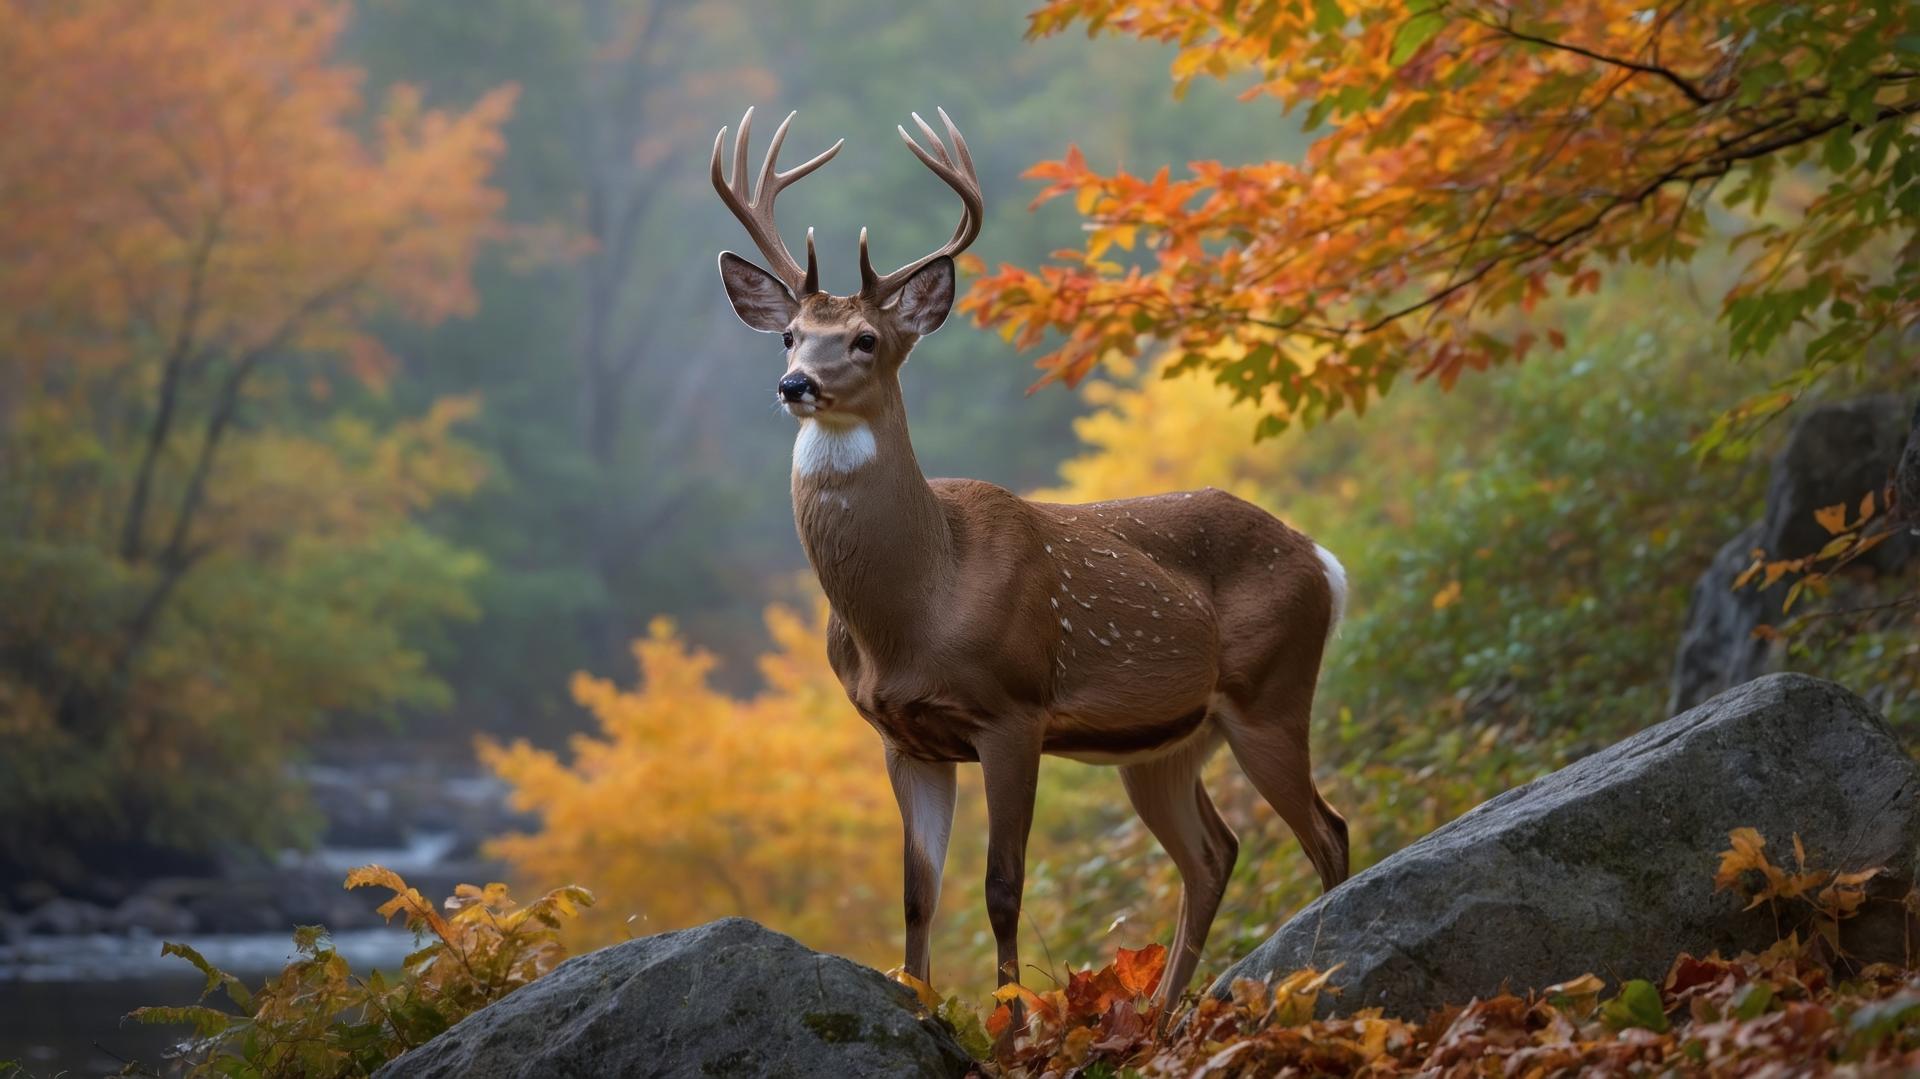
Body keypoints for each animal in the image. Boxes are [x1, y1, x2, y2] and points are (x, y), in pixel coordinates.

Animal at [710, 106, 1351, 1016]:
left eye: (866, 338)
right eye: (792, 335)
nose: (795, 383)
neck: (915, 609)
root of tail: (1322, 558)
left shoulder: (1014, 709)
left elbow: (1001, 887)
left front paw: (1012, 1022)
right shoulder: (901, 735)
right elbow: (918, 893)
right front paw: (924, 1009)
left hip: (1271, 690)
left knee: (1326, 831)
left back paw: (1319, 975)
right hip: (1166, 742)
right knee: (1214, 852)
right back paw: (1161, 1013)